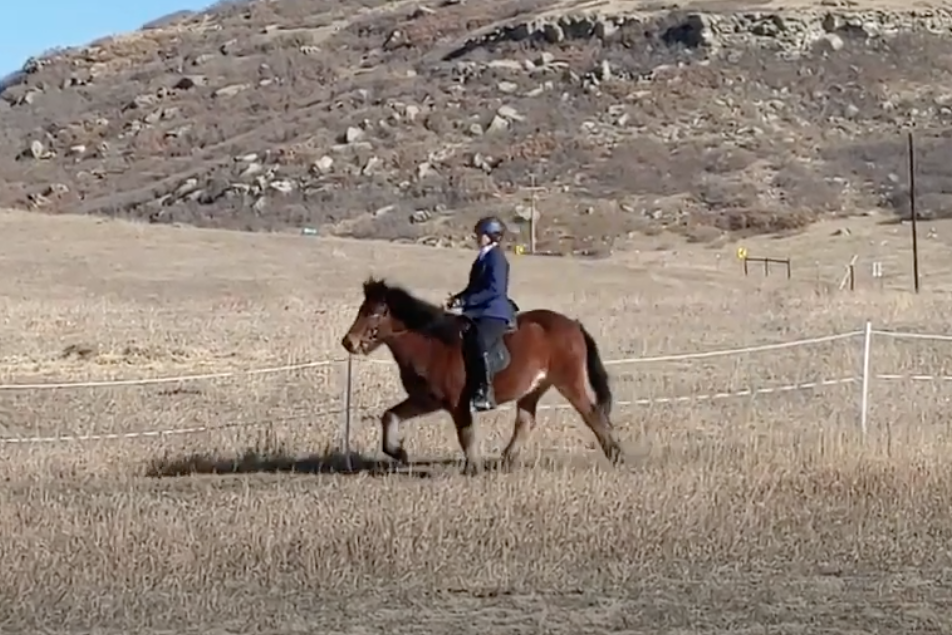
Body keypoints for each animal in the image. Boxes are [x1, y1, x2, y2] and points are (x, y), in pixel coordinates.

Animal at [340, 278, 624, 476]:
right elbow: (390, 416)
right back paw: (506, 461)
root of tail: (573, 324)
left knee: (592, 414)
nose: (348, 342)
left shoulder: (457, 402)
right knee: (525, 422)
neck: (431, 343)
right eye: (362, 309)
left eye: (375, 312)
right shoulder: (426, 399)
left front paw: (472, 468)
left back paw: (616, 456)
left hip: (568, 381)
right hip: (535, 387)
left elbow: (465, 433)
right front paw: (399, 452)